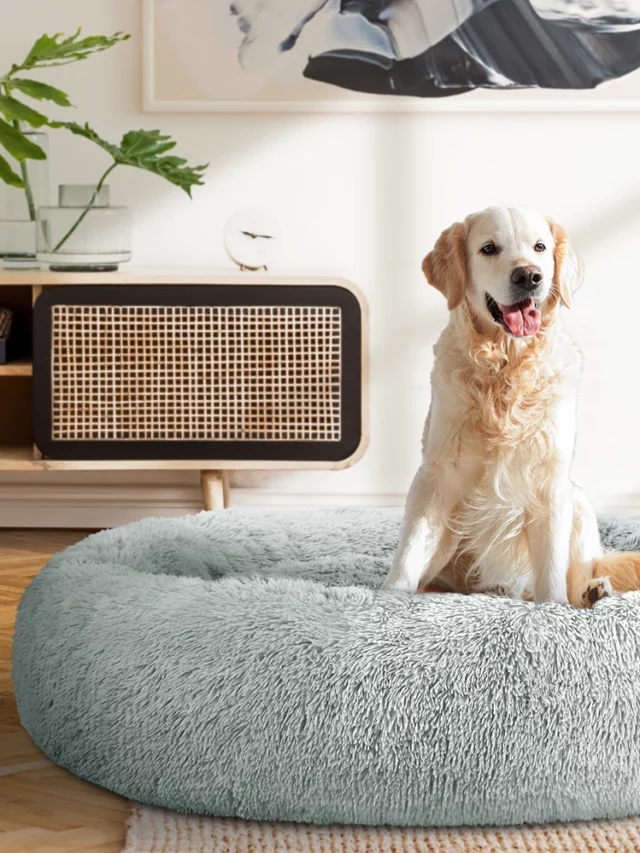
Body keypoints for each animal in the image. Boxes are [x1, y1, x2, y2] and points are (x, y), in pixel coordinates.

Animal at [382, 206, 640, 604]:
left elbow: (552, 570)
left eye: (540, 247)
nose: (529, 276)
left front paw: (554, 607)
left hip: (579, 502)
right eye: (489, 248)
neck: (505, 369)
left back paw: (591, 592)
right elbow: (411, 544)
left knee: (578, 571)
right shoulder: (436, 471)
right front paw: (390, 596)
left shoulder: (551, 479)